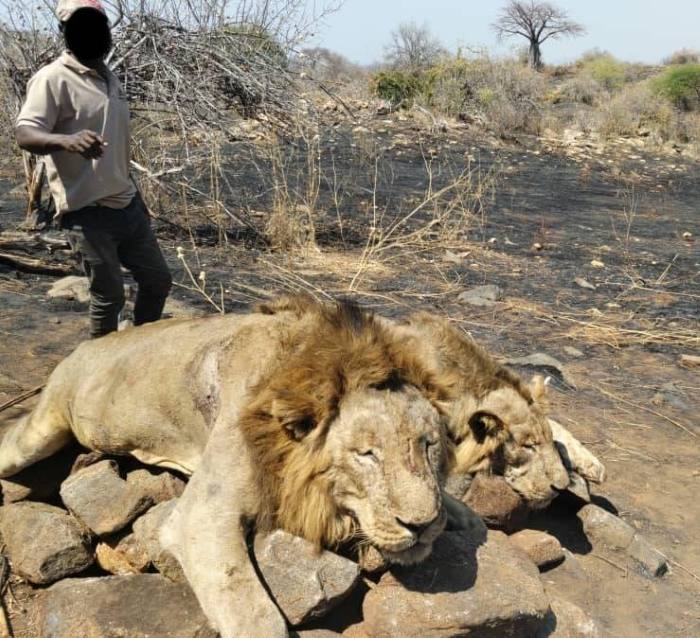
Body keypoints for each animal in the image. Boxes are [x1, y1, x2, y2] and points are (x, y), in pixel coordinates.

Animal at [0, 301, 459, 638]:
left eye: (429, 444)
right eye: (366, 454)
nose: (421, 525)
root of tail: (87, 345)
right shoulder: (201, 517)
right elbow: (255, 615)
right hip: (42, 429)